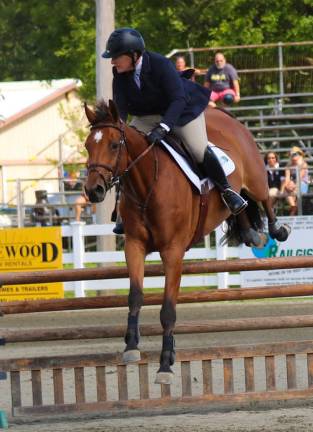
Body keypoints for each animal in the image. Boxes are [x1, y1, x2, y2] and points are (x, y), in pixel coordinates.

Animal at [83, 98, 290, 384]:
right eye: (87, 146)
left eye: (114, 145)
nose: (93, 190)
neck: (147, 185)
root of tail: (225, 115)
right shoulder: (134, 246)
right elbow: (135, 296)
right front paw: (131, 346)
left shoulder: (173, 252)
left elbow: (168, 310)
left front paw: (165, 365)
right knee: (241, 205)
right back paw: (250, 232)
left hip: (256, 176)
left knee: (264, 198)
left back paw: (277, 230)